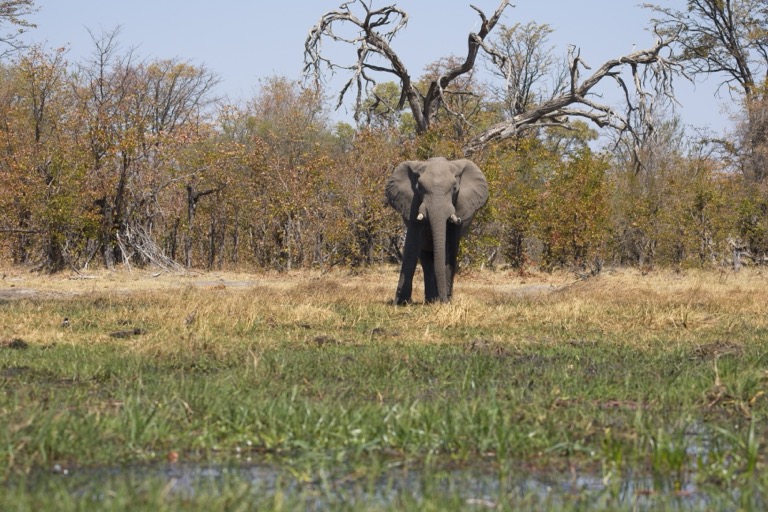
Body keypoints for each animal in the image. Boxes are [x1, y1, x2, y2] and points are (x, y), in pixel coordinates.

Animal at [385, 157, 489, 304]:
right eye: (420, 188)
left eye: (454, 188)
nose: (444, 299)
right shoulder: (413, 202)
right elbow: (412, 244)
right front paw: (400, 304)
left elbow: (449, 247)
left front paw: (446, 302)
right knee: (426, 259)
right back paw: (431, 300)